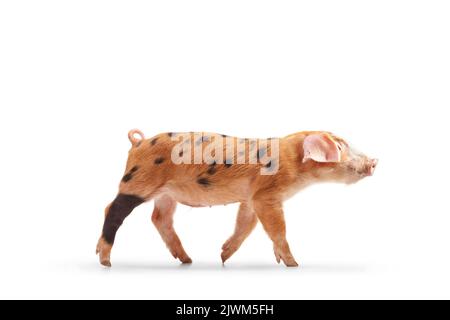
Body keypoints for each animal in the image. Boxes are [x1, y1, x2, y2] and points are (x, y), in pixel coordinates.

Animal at [95, 130, 376, 268]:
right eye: (340, 146)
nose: (374, 161)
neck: (293, 162)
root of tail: (138, 143)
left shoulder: (252, 197)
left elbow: (245, 224)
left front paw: (223, 257)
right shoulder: (267, 196)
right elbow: (277, 229)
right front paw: (294, 264)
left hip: (165, 193)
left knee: (159, 218)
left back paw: (187, 260)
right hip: (138, 182)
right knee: (112, 209)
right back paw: (106, 261)